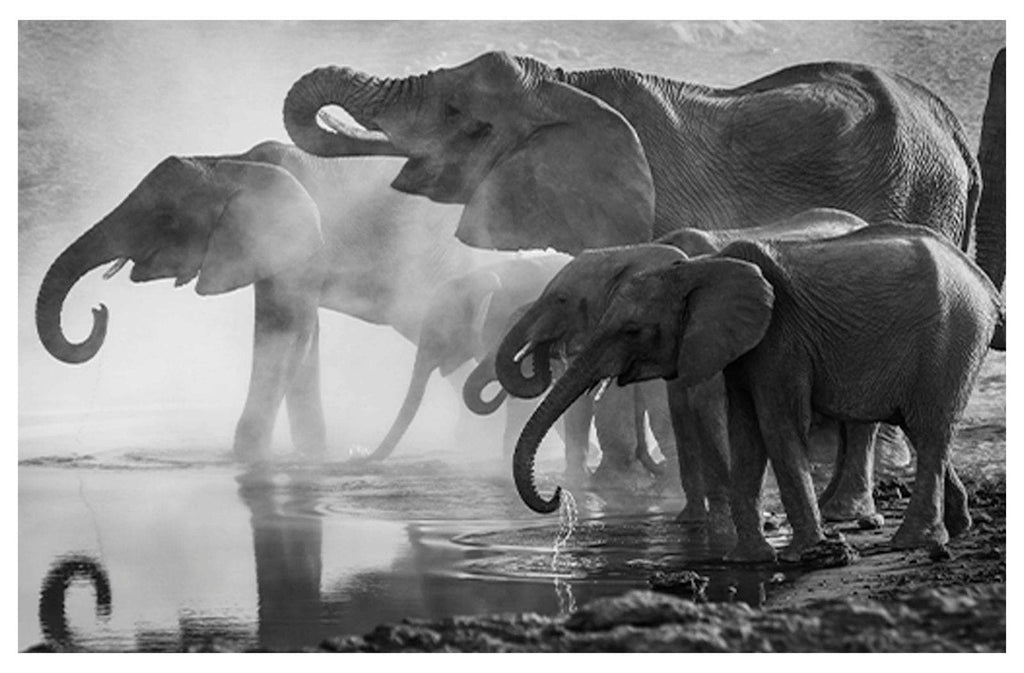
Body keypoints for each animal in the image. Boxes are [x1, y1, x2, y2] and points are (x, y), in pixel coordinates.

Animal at [35, 140, 516, 461]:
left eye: (166, 218)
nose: (99, 311)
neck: (231, 162)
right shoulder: (272, 251)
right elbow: (301, 339)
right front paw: (311, 458)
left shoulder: (294, 243)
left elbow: (284, 336)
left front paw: (248, 461)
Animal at [512, 221, 1002, 564]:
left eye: (632, 330)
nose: (557, 494)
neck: (698, 269)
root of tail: (981, 280)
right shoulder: (734, 345)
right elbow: (745, 428)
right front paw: (747, 558)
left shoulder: (780, 337)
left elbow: (776, 423)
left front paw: (807, 554)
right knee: (924, 429)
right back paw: (956, 527)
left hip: (953, 336)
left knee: (930, 428)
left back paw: (910, 541)